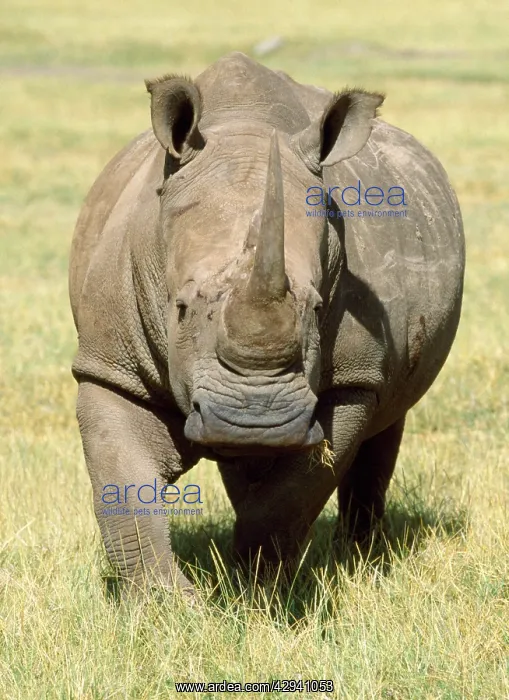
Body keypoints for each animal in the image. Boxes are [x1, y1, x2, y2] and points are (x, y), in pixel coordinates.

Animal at [69, 52, 465, 595]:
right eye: (181, 308)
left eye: (318, 309)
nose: (255, 423)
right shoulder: (110, 365)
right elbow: (123, 487)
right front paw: (166, 605)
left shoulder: (351, 380)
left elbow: (292, 497)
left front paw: (255, 589)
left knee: (388, 418)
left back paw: (359, 558)